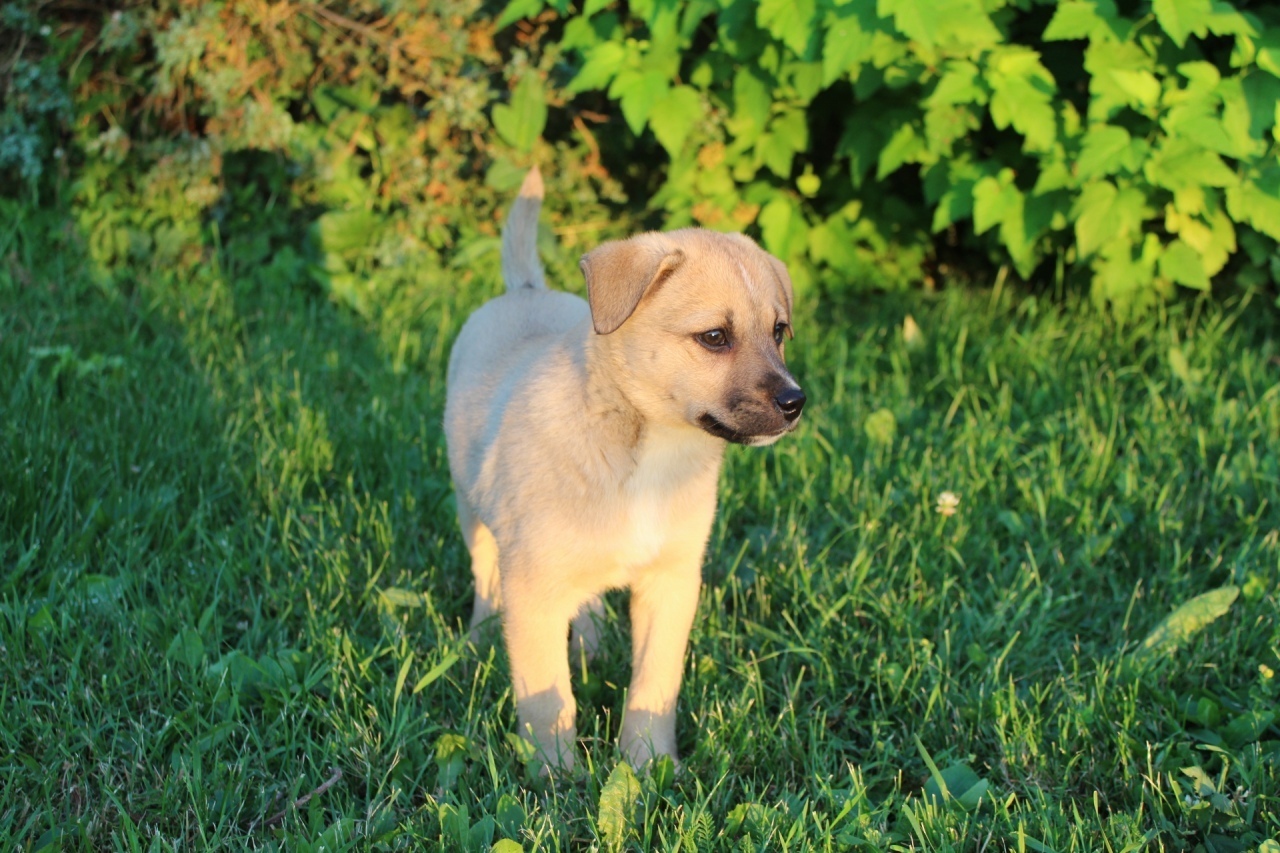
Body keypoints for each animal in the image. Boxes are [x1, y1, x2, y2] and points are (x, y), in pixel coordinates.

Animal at [445, 167, 803, 768]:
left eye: (778, 332)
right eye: (714, 337)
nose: (796, 403)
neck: (649, 451)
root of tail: (526, 289)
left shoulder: (672, 583)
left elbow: (655, 683)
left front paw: (648, 763)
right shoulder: (532, 589)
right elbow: (548, 697)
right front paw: (555, 774)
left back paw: (589, 648)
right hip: (472, 510)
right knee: (485, 576)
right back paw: (480, 639)